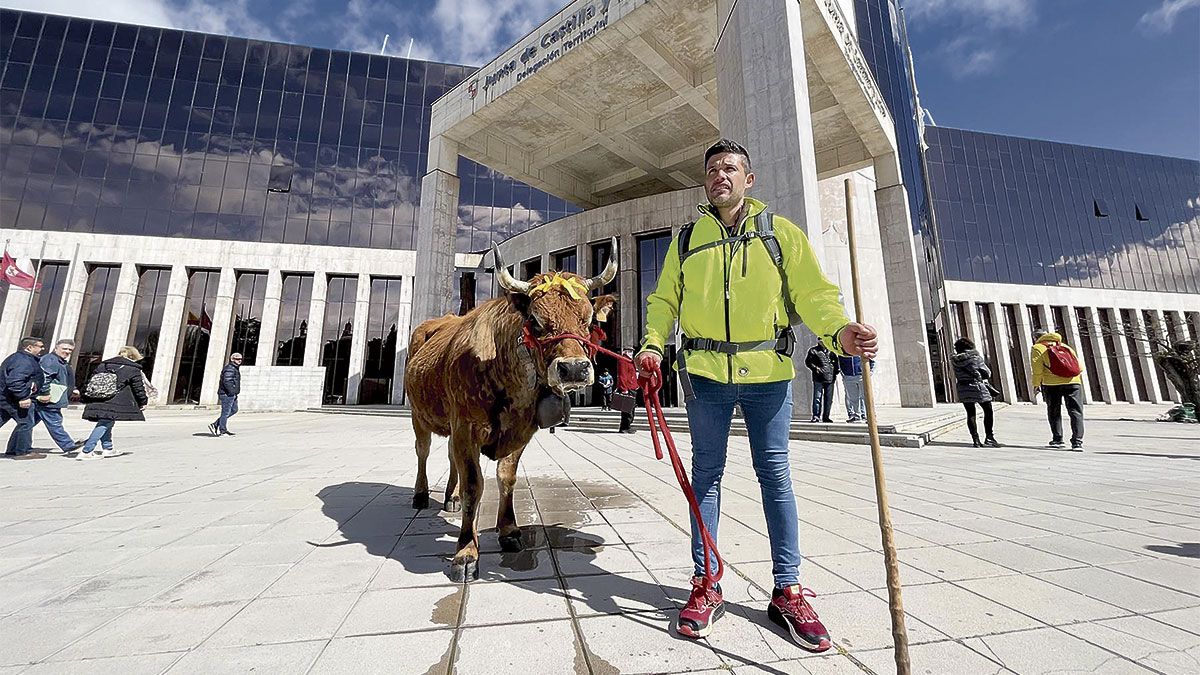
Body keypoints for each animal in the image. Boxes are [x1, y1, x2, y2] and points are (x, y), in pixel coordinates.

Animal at [408, 239, 624, 581]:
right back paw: (420, 495)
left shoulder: (520, 430)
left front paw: (508, 530)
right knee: (423, 451)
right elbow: (474, 485)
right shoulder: (466, 426)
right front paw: (465, 553)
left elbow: (506, 477)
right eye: (535, 321)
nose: (574, 369)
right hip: (418, 414)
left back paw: (450, 498)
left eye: (589, 321)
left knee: (450, 458)